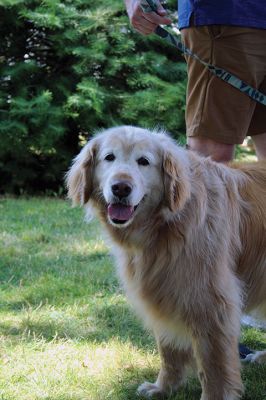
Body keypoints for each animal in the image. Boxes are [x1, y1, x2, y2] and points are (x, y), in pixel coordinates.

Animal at [65, 126, 264, 400]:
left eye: (143, 161)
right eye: (109, 158)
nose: (121, 188)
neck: (167, 223)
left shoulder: (210, 301)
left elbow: (213, 364)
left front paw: (214, 394)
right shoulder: (163, 289)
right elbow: (169, 350)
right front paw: (164, 387)